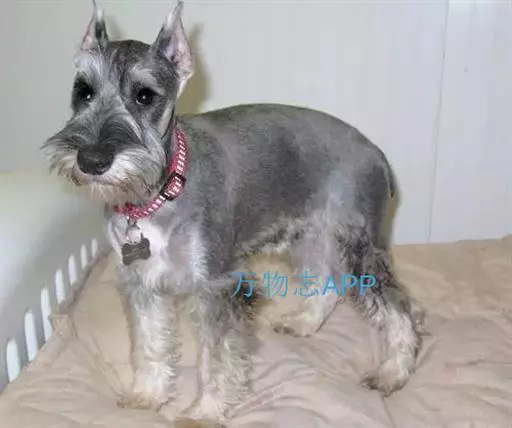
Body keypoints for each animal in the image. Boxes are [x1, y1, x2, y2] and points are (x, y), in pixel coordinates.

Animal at [43, 1, 424, 425]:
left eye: (144, 96)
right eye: (83, 91)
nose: (91, 160)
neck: (161, 192)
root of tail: (377, 153)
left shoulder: (217, 285)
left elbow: (215, 357)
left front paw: (204, 411)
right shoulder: (141, 282)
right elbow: (149, 342)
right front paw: (147, 395)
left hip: (360, 247)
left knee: (399, 307)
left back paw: (392, 372)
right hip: (310, 236)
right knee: (326, 282)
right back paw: (304, 323)